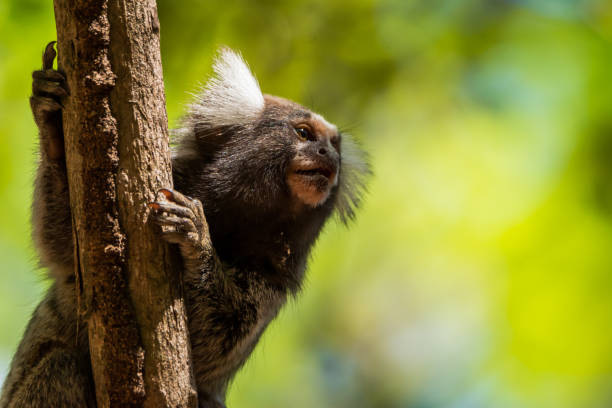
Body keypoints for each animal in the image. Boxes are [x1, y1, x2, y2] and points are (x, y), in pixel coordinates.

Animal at [0, 44, 368, 408]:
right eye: (304, 133)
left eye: (333, 146)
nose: (328, 155)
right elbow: (68, 253)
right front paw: (51, 125)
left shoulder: (273, 279)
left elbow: (212, 345)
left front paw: (197, 239)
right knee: (60, 365)